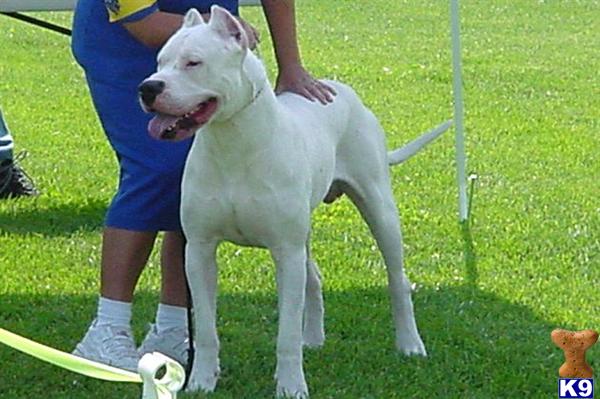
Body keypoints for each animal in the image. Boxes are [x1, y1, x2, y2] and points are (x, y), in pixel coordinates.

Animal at [142, 7, 450, 399]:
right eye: (159, 62)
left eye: (193, 63)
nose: (148, 87)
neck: (233, 143)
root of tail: (343, 90)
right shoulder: (199, 251)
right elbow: (208, 330)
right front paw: (201, 381)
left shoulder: (284, 254)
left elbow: (285, 334)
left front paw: (290, 386)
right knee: (314, 278)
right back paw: (314, 339)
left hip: (379, 209)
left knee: (397, 279)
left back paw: (409, 343)